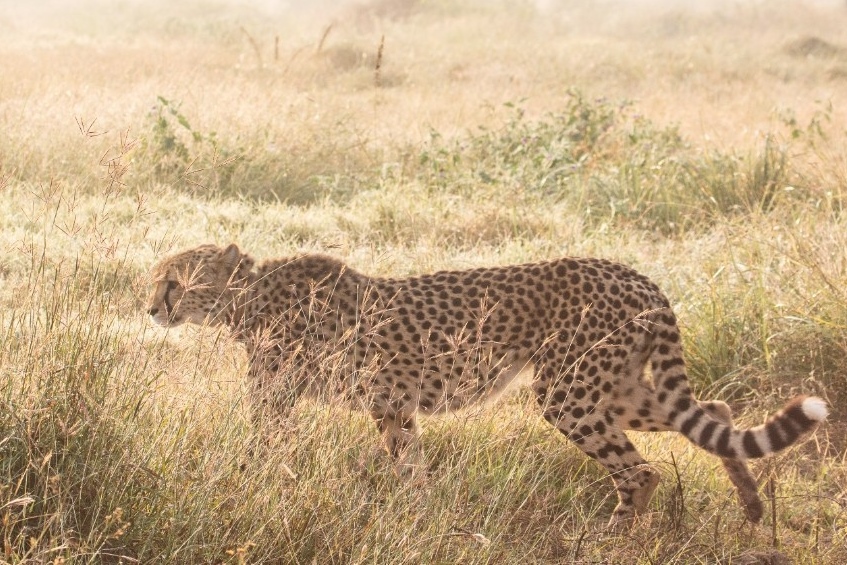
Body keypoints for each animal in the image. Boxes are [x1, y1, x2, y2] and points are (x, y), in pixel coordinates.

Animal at [146, 243, 827, 527]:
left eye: (176, 282)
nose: (151, 308)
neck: (247, 298)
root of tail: (633, 274)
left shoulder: (285, 400)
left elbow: (259, 450)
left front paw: (238, 487)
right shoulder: (392, 406)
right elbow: (411, 467)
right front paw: (422, 517)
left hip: (569, 393)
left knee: (640, 470)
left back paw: (610, 537)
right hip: (611, 388)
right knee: (713, 408)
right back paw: (751, 506)